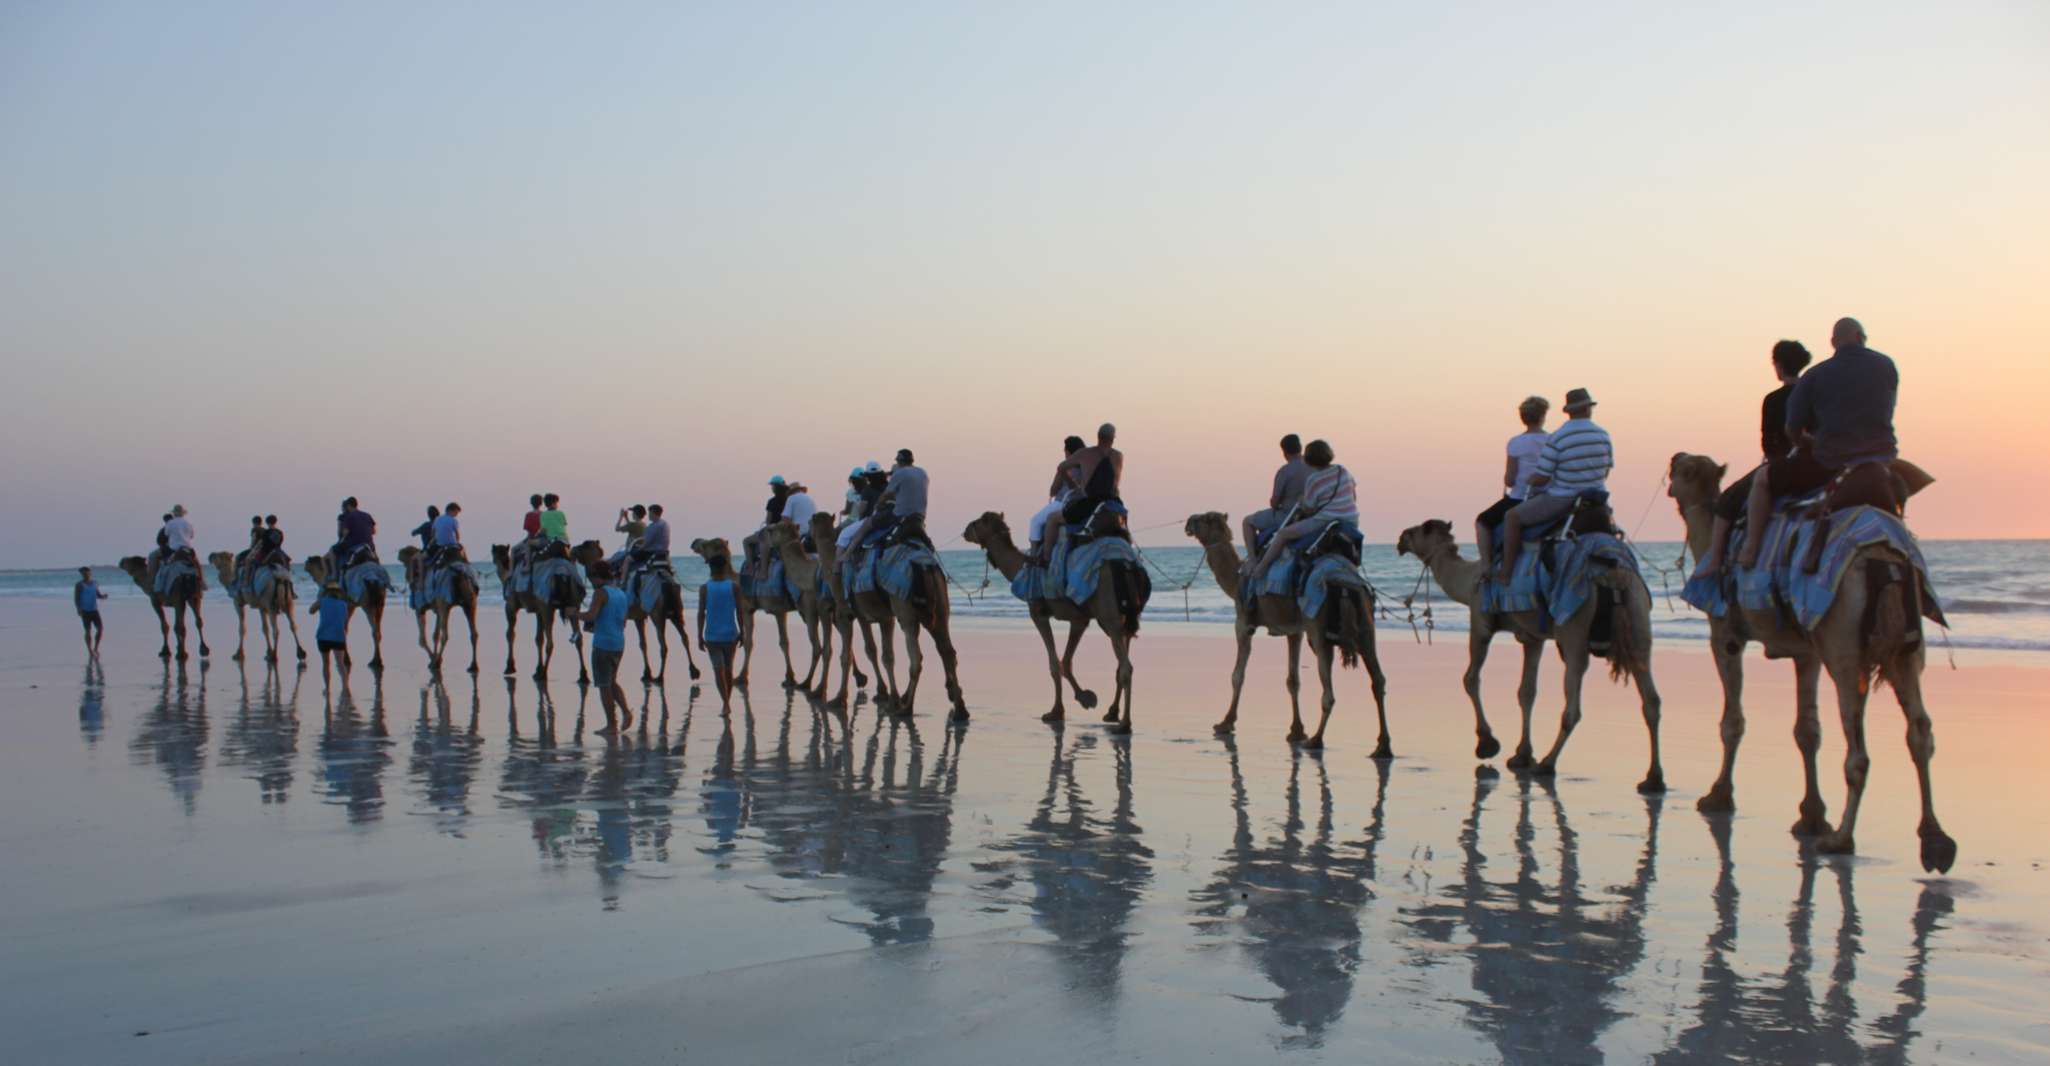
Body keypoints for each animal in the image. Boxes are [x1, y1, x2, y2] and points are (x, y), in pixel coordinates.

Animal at [489, 541, 594, 684]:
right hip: (574, 603)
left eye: (494, 554)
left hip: (547, 606)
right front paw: (537, 669)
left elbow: (510, 634)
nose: (495, 560)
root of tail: (564, 574)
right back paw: (583, 676)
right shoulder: (538, 610)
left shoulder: (511, 605)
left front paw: (510, 667)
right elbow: (539, 638)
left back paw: (543, 674)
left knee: (551, 642)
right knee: (578, 639)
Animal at [955, 512, 1148, 729]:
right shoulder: (1079, 619)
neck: (1022, 566)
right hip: (1125, 617)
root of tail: (1128, 566)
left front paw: (1057, 711)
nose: (965, 530)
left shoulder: (1038, 613)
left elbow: (1055, 663)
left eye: (979, 521)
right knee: (1121, 662)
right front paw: (1085, 698)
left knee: (1125, 667)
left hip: (1109, 614)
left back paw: (1125, 723)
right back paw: (1112, 713)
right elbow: (1066, 661)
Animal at [1189, 512, 1394, 754]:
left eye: (1204, 519)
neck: (1236, 577)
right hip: (1366, 624)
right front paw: (1296, 731)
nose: (1188, 522)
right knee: (1378, 680)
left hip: (1318, 628)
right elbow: (1293, 680)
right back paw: (1383, 747)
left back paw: (1316, 740)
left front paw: (1225, 722)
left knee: (1329, 692)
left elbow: (1238, 675)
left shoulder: (1243, 623)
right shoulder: (1294, 630)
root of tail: (1346, 583)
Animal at [1394, 520, 1664, 787]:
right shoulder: (1533, 637)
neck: (1469, 578)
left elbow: (1470, 678)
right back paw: (1653, 778)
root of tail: (1613, 573)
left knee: (1573, 705)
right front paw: (1521, 754)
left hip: (1575, 628)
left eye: (1415, 531)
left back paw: (1547, 764)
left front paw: (1487, 744)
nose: (1399, 540)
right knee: (1651, 699)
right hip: (1638, 618)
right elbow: (1527, 691)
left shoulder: (1480, 621)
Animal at [1664, 453, 1951, 869]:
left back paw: (1841, 840)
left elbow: (1732, 722)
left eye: (1683, 470)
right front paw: (1811, 816)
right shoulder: (1807, 651)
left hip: (1844, 642)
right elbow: (1808, 730)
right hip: (1906, 650)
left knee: (1858, 750)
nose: (1674, 458)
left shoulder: (1725, 635)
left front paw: (1718, 796)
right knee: (1920, 731)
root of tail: (1886, 559)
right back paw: (1935, 840)